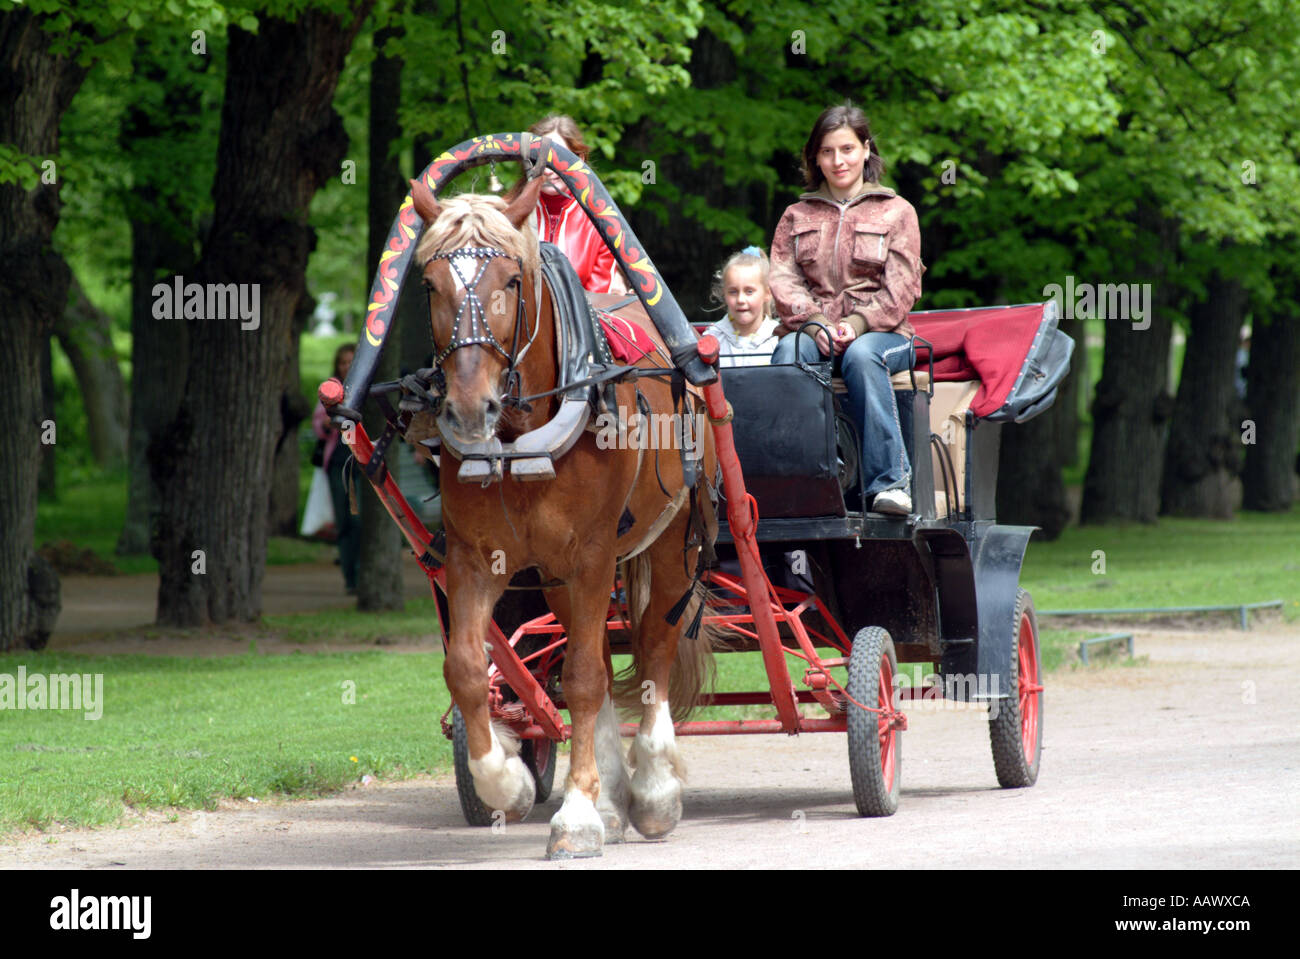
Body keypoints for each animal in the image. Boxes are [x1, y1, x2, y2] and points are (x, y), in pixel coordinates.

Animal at [410, 174, 722, 857]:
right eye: (429, 283)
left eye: (511, 279)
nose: (469, 407)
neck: (520, 436)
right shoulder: (478, 559)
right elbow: (467, 669)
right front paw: (507, 782)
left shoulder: (592, 554)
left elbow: (579, 677)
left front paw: (577, 815)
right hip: (559, 576)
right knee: (602, 659)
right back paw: (611, 797)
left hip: (673, 541)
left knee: (654, 647)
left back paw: (652, 790)